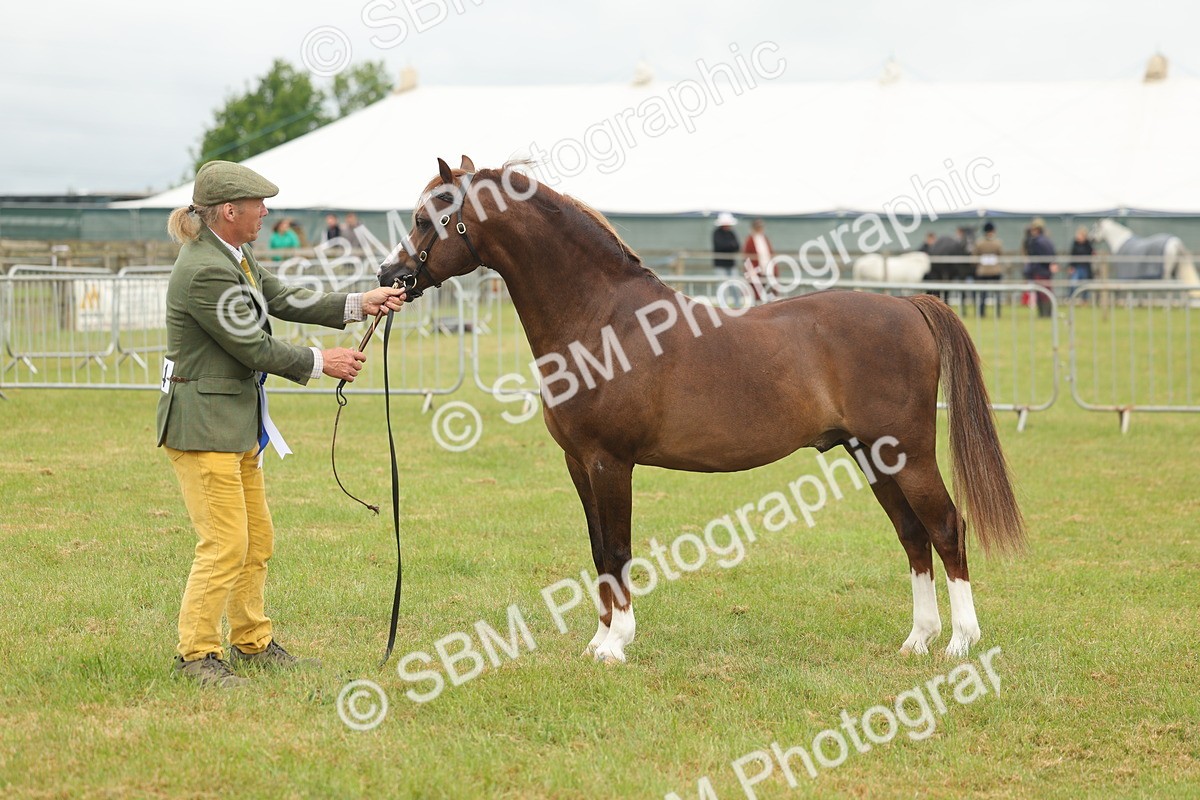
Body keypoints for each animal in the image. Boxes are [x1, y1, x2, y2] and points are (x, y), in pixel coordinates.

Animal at [379, 157, 1026, 664]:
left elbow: (618, 550)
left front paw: (616, 645)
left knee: (946, 528)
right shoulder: (578, 463)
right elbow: (597, 551)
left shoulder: (610, 462)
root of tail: (910, 306)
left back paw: (959, 642)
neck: (601, 319)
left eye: (426, 219)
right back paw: (917, 639)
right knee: (913, 536)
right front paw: (599, 639)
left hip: (907, 454)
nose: (391, 276)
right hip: (871, 456)